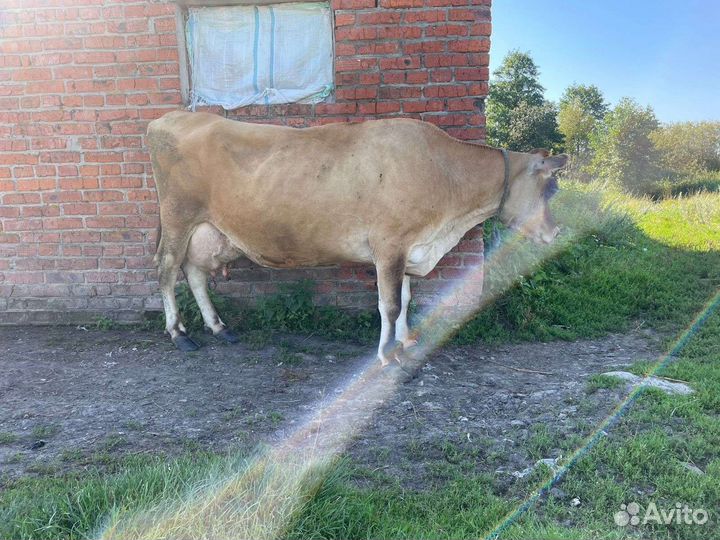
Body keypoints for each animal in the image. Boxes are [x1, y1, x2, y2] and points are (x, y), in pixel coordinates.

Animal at [147, 111, 567, 367]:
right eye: (550, 188)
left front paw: (406, 341)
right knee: (167, 271)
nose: (556, 231)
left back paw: (220, 327)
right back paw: (178, 333)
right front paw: (386, 353)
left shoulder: (410, 249)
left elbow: (406, 299)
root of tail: (173, 117)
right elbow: (389, 305)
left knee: (195, 274)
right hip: (177, 217)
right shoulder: (389, 245)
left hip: (208, 231)